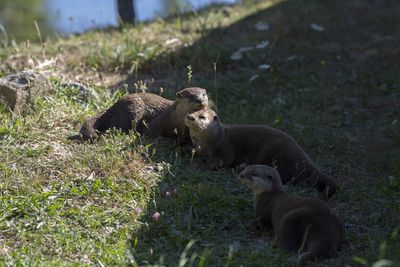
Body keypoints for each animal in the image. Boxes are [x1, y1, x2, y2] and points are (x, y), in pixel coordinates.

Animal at [184, 108, 338, 198]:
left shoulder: (224, 148)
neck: (212, 140)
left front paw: (199, 166)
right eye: (190, 112)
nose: (190, 116)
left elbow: (220, 162)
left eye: (202, 117)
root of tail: (304, 159)